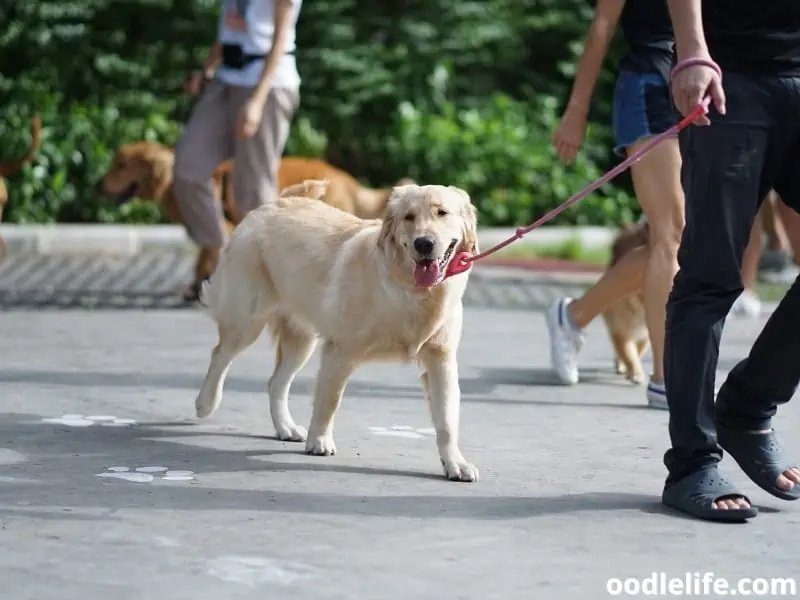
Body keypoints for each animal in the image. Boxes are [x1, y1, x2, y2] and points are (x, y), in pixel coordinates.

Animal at [194, 179, 482, 482]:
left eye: (442, 213)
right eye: (409, 217)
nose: (424, 243)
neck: (412, 291)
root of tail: (274, 203)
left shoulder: (441, 360)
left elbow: (447, 419)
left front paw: (456, 463)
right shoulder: (341, 351)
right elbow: (329, 401)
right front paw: (319, 441)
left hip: (301, 341)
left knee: (276, 382)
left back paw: (286, 427)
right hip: (247, 319)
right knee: (220, 355)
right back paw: (205, 403)